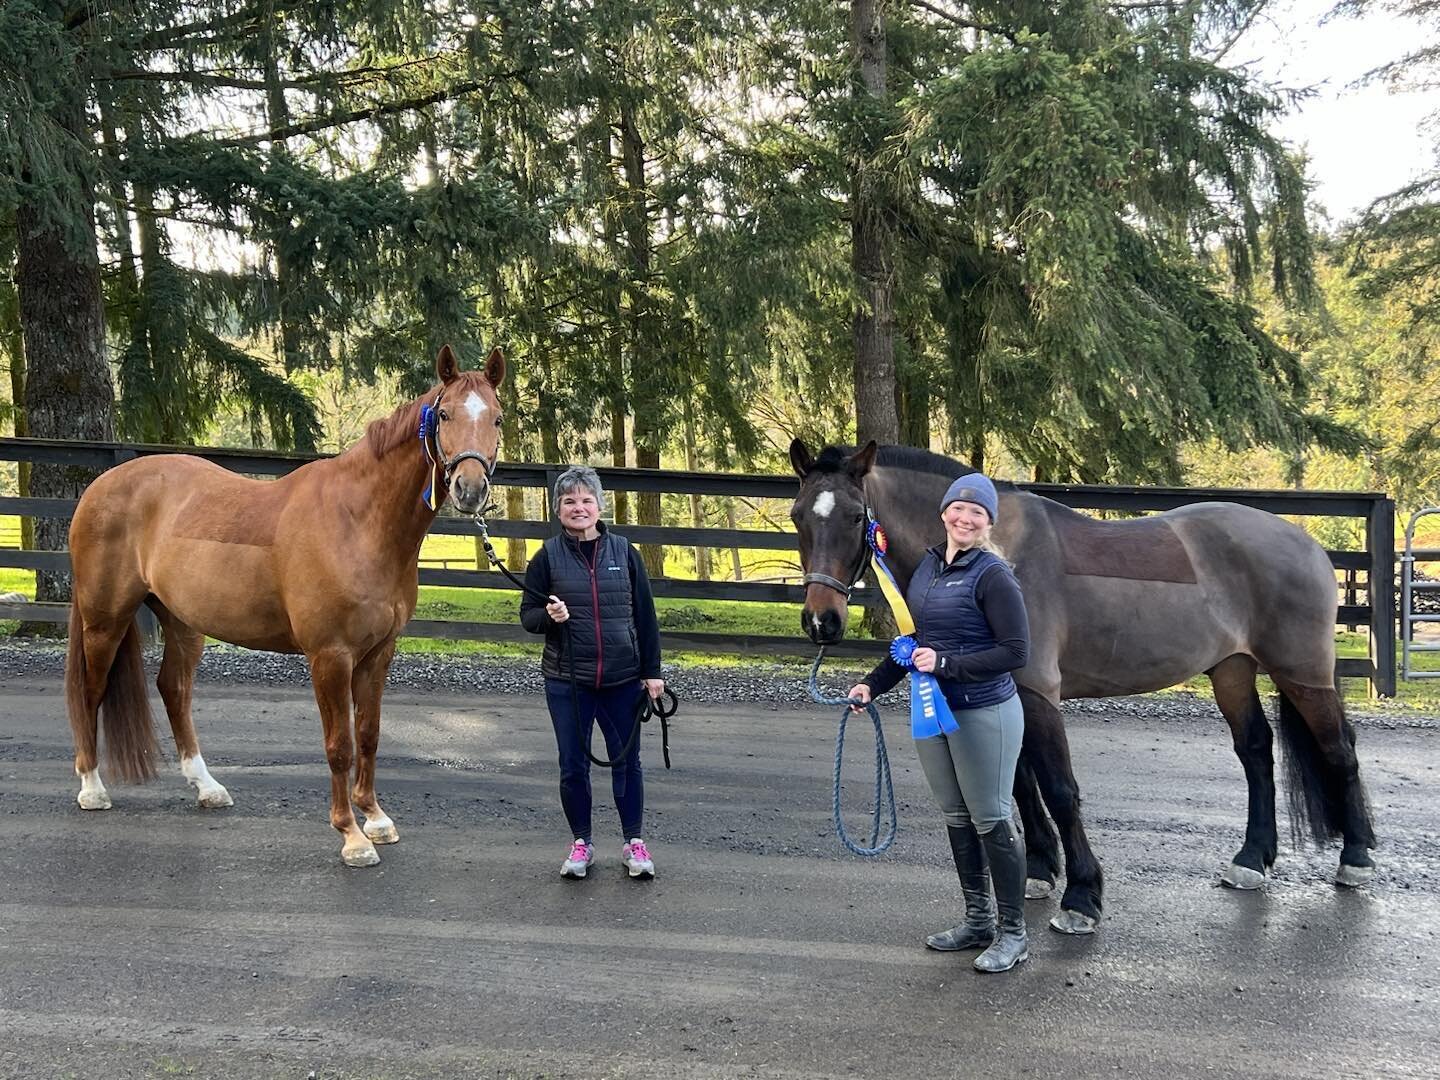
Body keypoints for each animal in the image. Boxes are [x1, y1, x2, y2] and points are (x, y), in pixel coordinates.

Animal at [66, 347, 506, 869]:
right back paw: (92, 788)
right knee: (90, 690)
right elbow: (339, 745)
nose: (469, 489)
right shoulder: (330, 657)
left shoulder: (378, 653)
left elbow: (369, 734)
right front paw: (351, 836)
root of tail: (100, 487)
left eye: (497, 418)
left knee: (173, 689)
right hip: (104, 619)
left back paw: (207, 788)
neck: (359, 522)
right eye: (444, 415)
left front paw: (376, 819)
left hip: (183, 622)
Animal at [794, 440, 1376, 933]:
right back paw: (1252, 860)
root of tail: (1305, 543)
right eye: (798, 515)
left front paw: (1081, 897)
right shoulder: (1004, 692)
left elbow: (1058, 789)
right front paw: (1038, 871)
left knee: (1338, 750)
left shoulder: (1037, 694)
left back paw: (1356, 858)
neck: (995, 555)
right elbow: (1018, 784)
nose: (822, 622)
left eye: (854, 516)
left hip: (1303, 673)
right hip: (1232, 668)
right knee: (1255, 751)